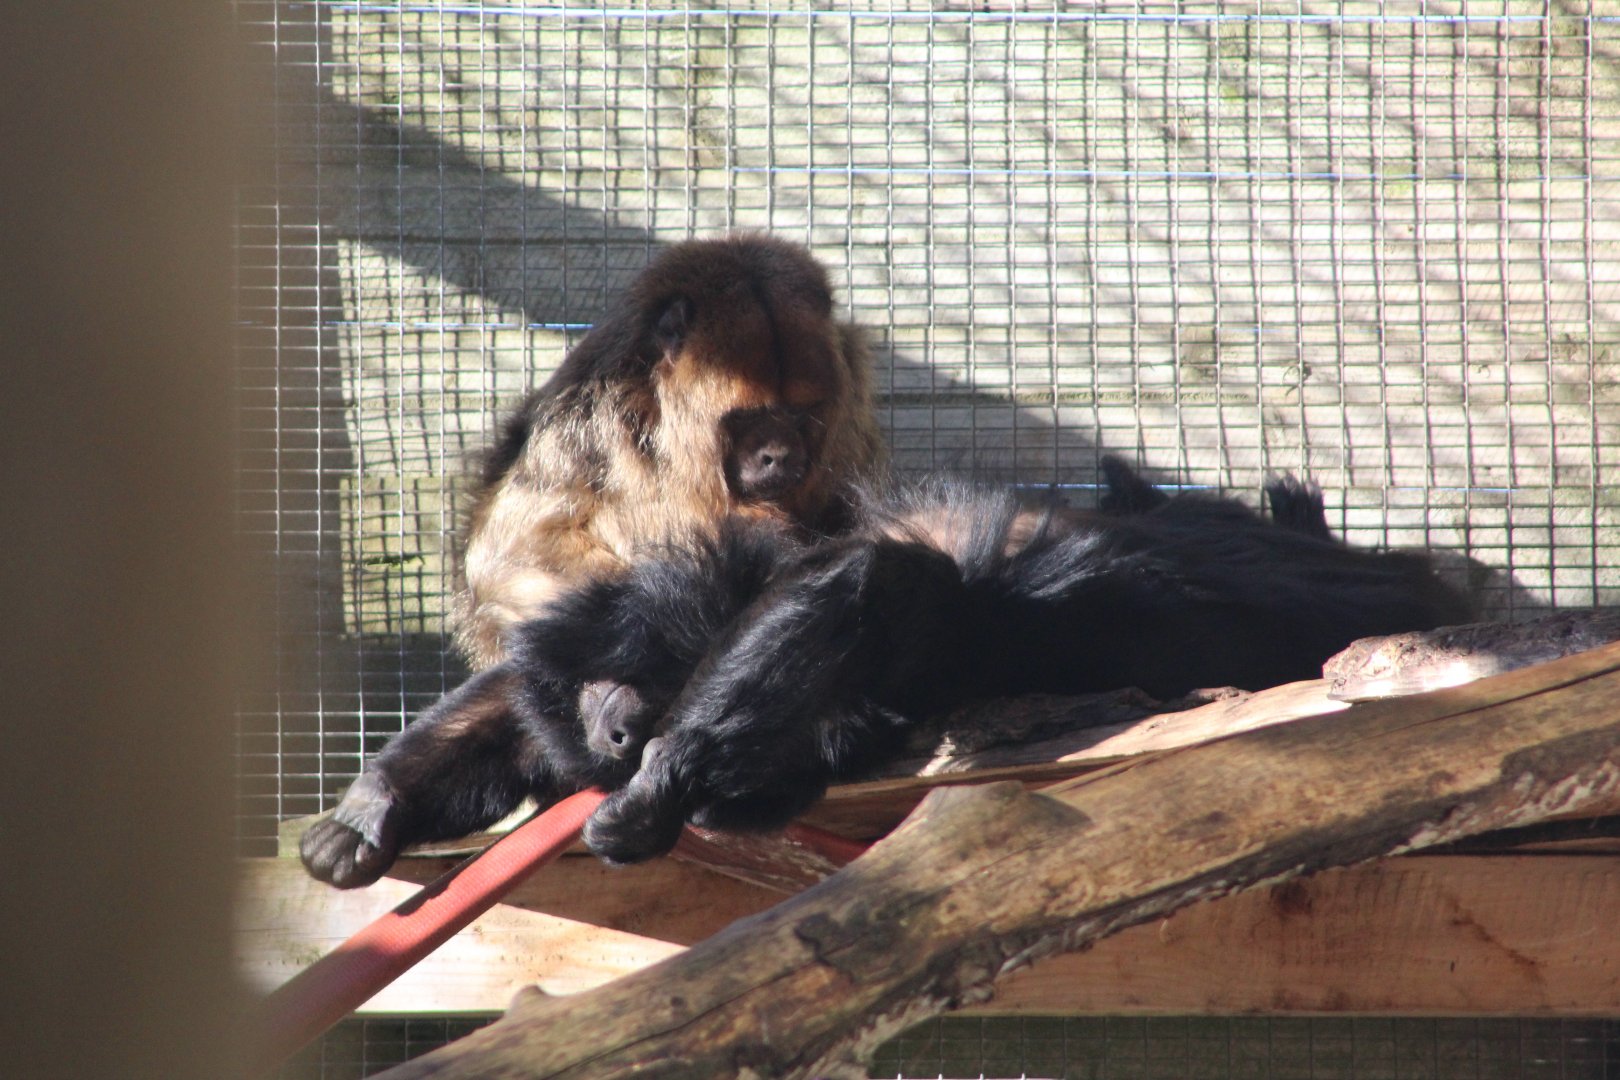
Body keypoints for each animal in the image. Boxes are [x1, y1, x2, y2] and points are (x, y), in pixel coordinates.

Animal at [301, 459, 1476, 885]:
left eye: (642, 719)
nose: (623, 732)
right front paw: (376, 802)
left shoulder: (911, 625)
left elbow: (875, 579)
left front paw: (659, 787)